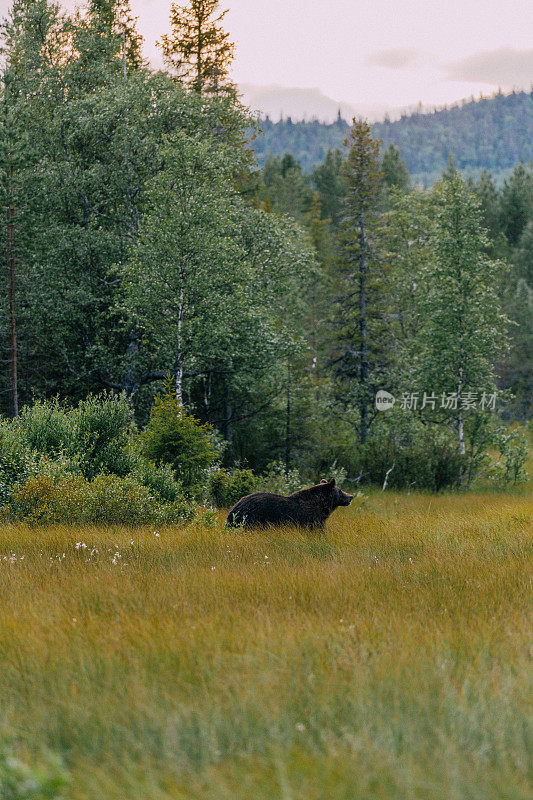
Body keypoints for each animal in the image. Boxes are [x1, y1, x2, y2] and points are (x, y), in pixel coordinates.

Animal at [225, 476, 354, 532]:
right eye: (340, 490)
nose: (351, 496)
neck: (322, 506)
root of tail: (235, 508)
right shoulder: (312, 518)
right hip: (253, 517)